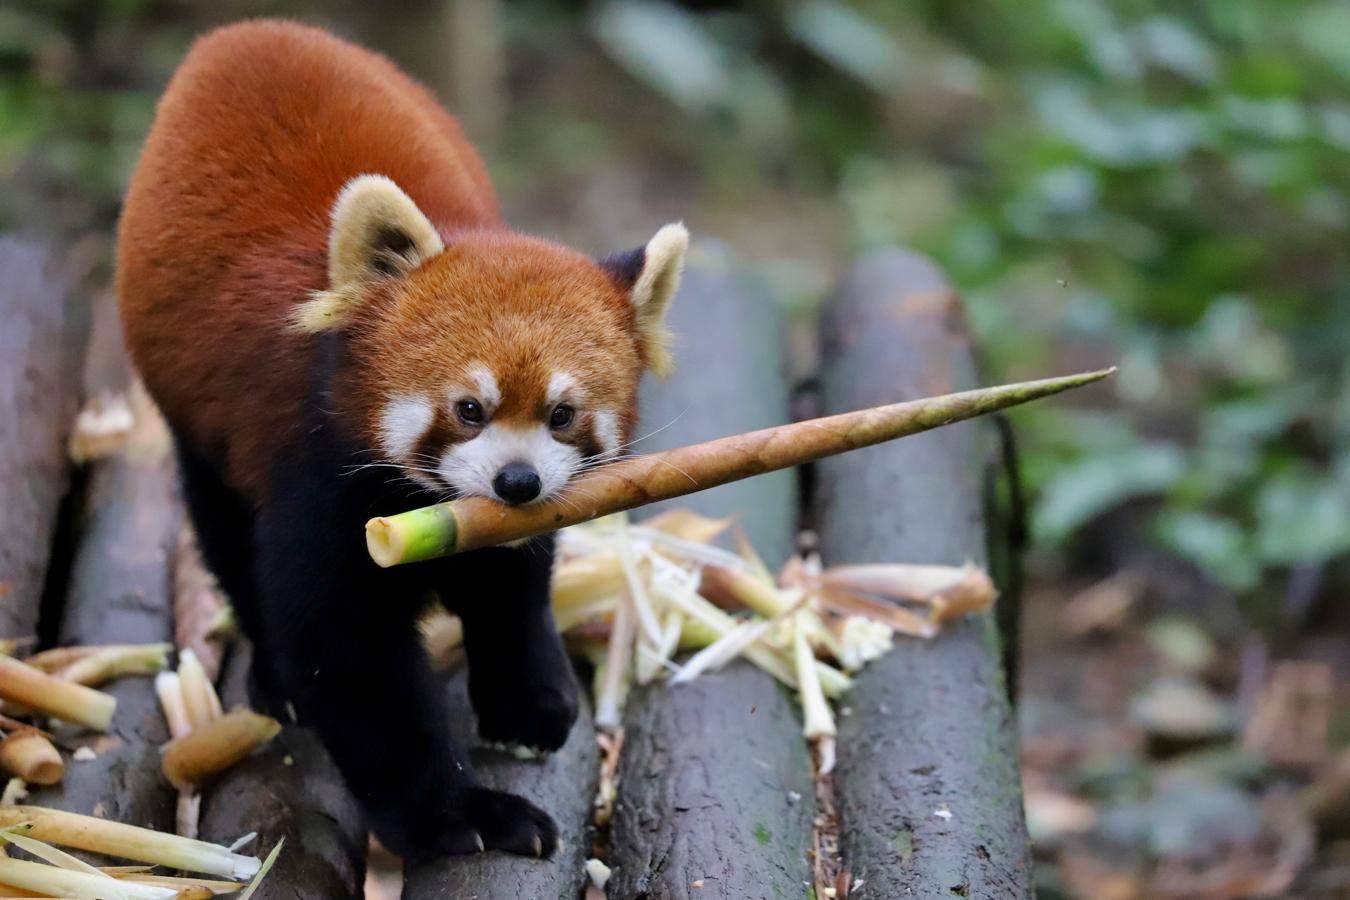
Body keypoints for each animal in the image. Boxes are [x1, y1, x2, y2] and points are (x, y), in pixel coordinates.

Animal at [116, 19, 685, 858]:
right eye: (469, 409)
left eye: (561, 414)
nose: (517, 482)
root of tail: (242, 33)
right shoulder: (317, 473)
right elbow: (351, 657)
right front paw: (454, 816)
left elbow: (509, 583)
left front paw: (528, 698)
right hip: (192, 408)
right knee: (225, 530)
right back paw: (276, 680)